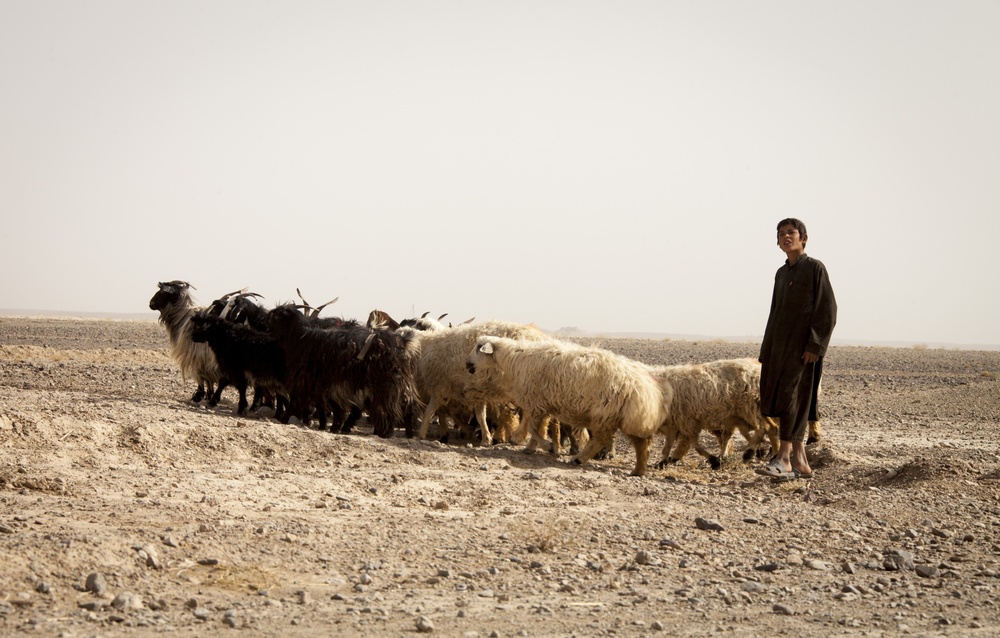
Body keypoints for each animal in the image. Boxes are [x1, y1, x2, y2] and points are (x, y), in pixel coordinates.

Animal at [464, 336, 668, 476]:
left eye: (478, 347)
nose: (467, 365)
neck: (514, 360)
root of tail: (642, 386)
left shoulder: (536, 402)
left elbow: (533, 428)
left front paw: (549, 447)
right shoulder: (541, 404)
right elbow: (536, 427)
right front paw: (531, 447)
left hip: (605, 413)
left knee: (601, 439)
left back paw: (579, 459)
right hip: (622, 416)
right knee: (641, 443)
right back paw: (639, 470)